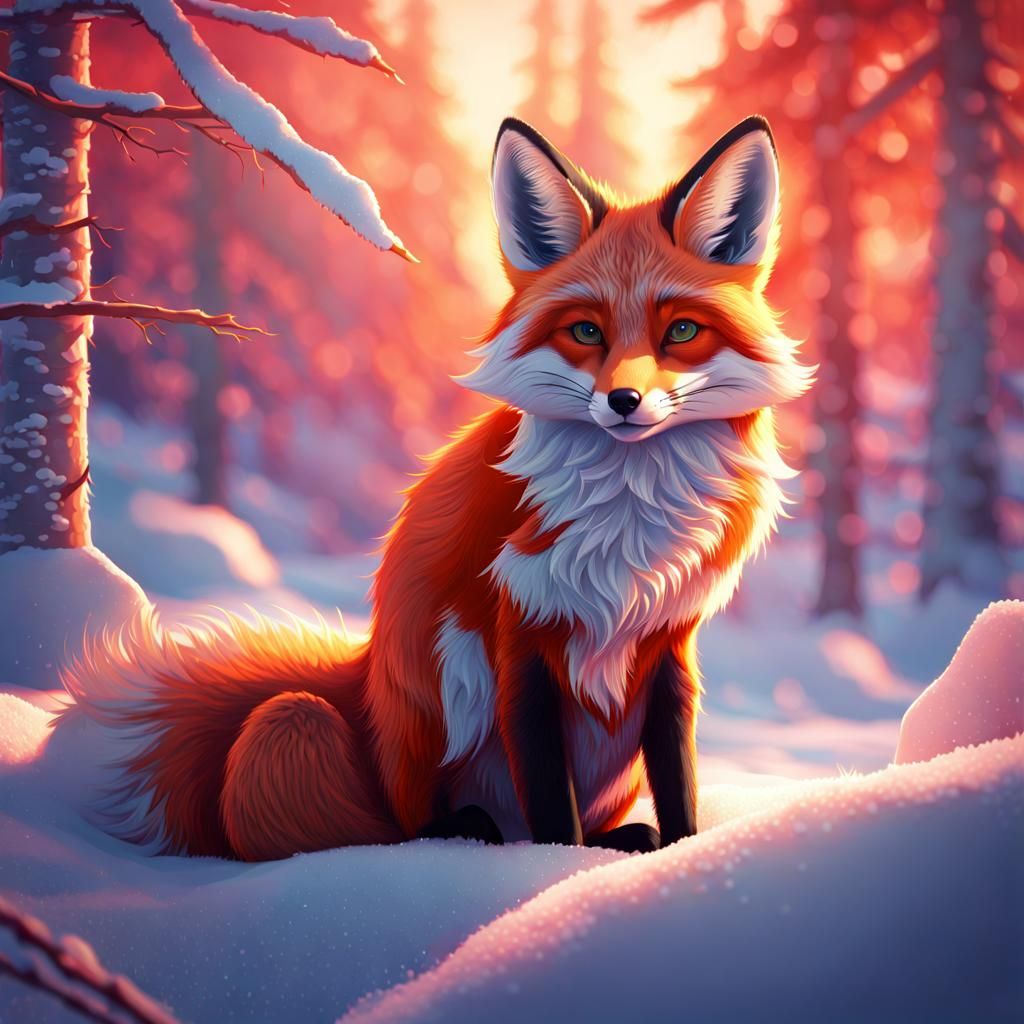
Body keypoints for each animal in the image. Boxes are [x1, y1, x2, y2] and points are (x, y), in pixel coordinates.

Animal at [58, 115, 811, 859]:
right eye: (585, 331)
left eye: (680, 330)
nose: (623, 402)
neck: (625, 526)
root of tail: (363, 694)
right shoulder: (520, 639)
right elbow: (549, 794)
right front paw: (560, 871)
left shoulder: (668, 644)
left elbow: (678, 779)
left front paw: (683, 855)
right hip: (354, 714)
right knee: (407, 824)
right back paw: (472, 832)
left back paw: (624, 836)